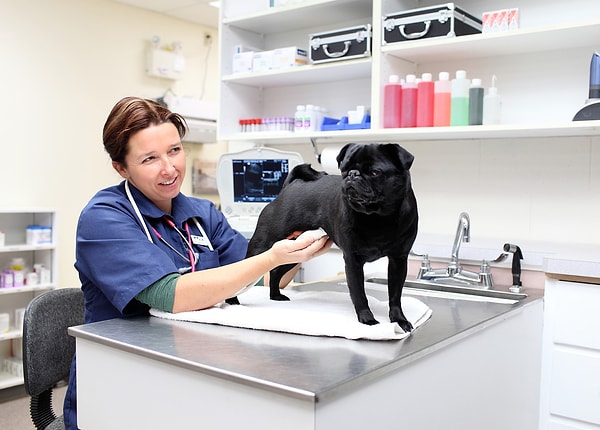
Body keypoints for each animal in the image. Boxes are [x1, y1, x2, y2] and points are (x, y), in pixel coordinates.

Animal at [229, 143, 418, 330]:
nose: (352, 174)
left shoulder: (398, 261)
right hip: (263, 245)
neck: (378, 217)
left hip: (295, 251)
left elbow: (395, 295)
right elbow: (359, 294)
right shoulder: (353, 261)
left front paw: (399, 320)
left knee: (276, 271)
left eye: (375, 172)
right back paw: (232, 300)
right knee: (241, 271)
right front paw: (367, 319)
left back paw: (275, 295)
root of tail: (289, 186)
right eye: (344, 169)